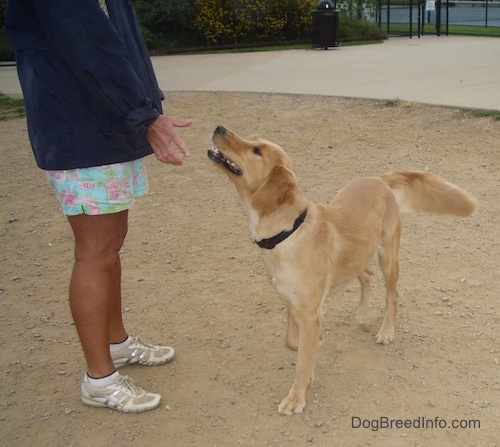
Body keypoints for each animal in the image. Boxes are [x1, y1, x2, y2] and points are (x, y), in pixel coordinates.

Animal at [207, 126, 476, 416]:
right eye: (254, 142)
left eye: (256, 150)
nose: (219, 128)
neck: (289, 231)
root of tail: (378, 178)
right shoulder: (293, 304)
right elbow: (293, 344)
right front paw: (313, 358)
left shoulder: (309, 313)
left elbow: (302, 359)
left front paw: (296, 397)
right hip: (356, 256)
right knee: (367, 277)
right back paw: (362, 314)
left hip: (387, 257)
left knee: (393, 295)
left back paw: (386, 331)